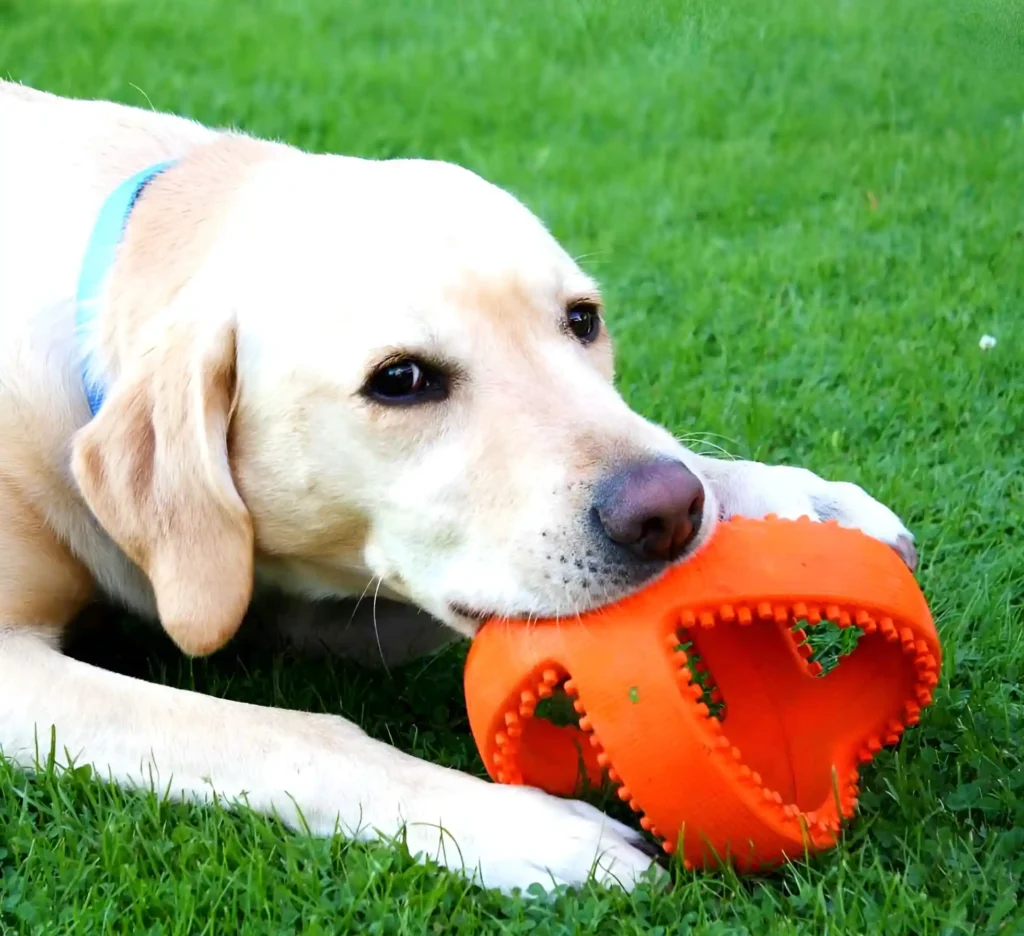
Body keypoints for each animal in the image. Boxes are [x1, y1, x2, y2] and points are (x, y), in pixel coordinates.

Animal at [0, 83, 913, 892]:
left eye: (583, 320)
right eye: (400, 380)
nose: (668, 513)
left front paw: (787, 498)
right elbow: (289, 733)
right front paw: (526, 826)